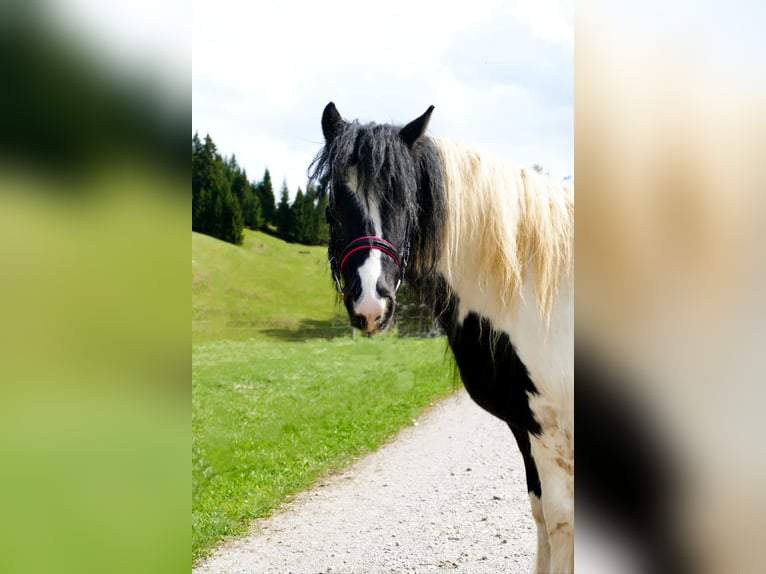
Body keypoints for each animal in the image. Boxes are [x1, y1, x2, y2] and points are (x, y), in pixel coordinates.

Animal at [308, 103, 572, 574]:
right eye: (336, 201)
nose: (370, 300)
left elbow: (559, 524)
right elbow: (541, 514)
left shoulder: (551, 429)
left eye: (407, 198)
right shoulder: (526, 426)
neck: (532, 285)